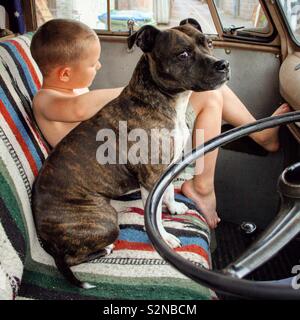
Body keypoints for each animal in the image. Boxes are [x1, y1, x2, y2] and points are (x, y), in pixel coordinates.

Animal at [31, 18, 230, 288]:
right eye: (183, 54)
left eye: (208, 43)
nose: (223, 64)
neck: (162, 100)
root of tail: (46, 240)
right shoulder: (150, 177)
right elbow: (153, 214)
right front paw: (164, 238)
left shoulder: (166, 168)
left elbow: (168, 193)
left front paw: (174, 208)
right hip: (105, 221)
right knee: (72, 257)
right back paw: (104, 249)